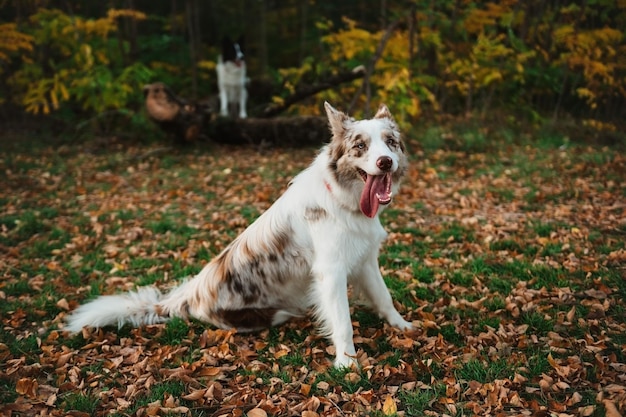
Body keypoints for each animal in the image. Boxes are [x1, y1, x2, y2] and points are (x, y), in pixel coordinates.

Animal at [66, 102, 412, 366]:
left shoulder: (365, 260)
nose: (385, 162)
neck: (346, 200)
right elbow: (343, 323)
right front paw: (347, 363)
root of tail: (185, 298)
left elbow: (384, 296)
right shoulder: (332, 272)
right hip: (269, 314)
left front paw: (402, 326)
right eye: (360, 146)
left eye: (390, 143)